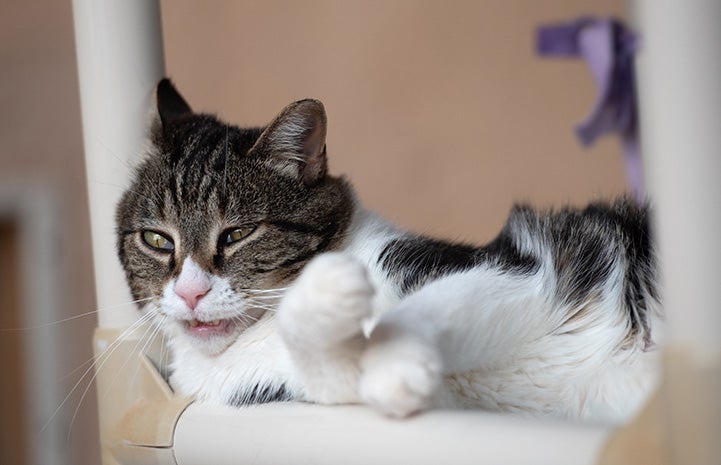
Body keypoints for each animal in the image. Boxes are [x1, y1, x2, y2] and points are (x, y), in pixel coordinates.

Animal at [115, 78, 660, 422]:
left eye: (237, 234)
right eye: (157, 239)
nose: (190, 293)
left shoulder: (513, 271)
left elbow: (437, 302)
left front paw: (387, 354)